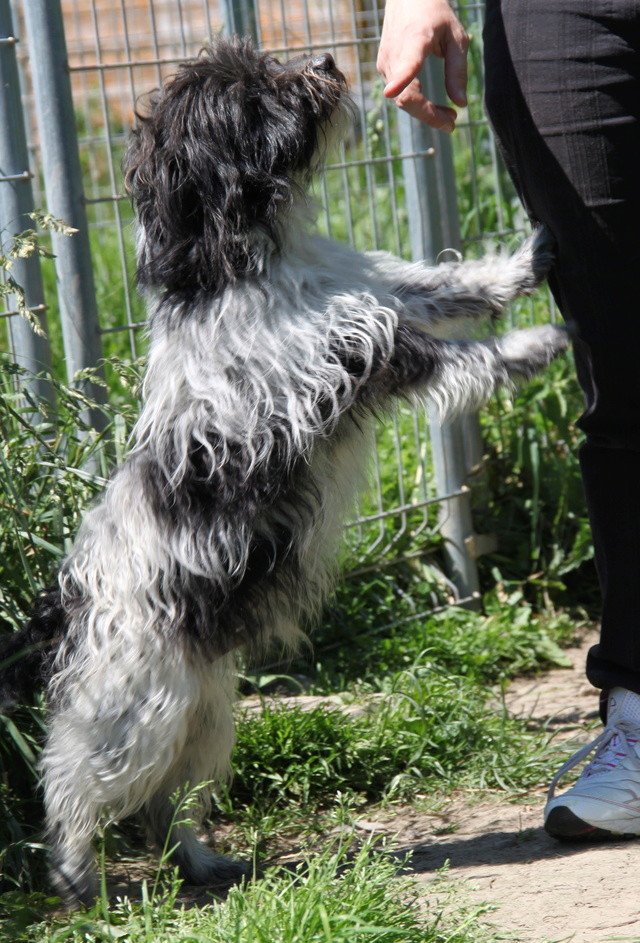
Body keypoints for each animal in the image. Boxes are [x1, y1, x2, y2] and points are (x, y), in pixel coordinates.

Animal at [0, 37, 568, 908]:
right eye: (257, 97)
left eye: (264, 68)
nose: (330, 61)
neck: (243, 264)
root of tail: (64, 608)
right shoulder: (357, 358)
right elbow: (463, 357)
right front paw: (538, 344)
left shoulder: (380, 295)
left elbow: (456, 286)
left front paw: (533, 255)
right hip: (128, 718)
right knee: (73, 790)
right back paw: (78, 882)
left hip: (200, 717)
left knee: (168, 806)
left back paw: (203, 863)